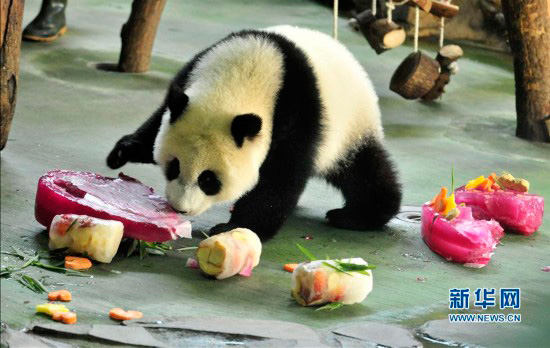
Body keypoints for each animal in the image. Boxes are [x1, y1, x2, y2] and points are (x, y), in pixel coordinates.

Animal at [108, 25, 404, 242]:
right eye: (173, 166)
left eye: (208, 180)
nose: (181, 208)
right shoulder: (192, 72)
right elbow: (159, 120)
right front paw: (122, 151)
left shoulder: (295, 117)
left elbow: (279, 178)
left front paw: (236, 227)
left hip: (350, 126)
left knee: (362, 170)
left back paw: (358, 215)